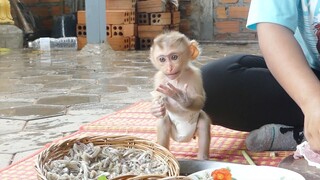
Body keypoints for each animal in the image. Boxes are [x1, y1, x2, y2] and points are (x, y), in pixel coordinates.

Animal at [151, 30, 211, 159]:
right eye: (162, 59)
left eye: (174, 57)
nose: (169, 68)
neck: (178, 77)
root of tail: (183, 138)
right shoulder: (159, 77)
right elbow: (157, 99)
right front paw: (156, 108)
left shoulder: (196, 75)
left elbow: (200, 100)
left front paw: (184, 99)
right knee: (163, 121)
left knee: (204, 122)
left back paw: (202, 157)